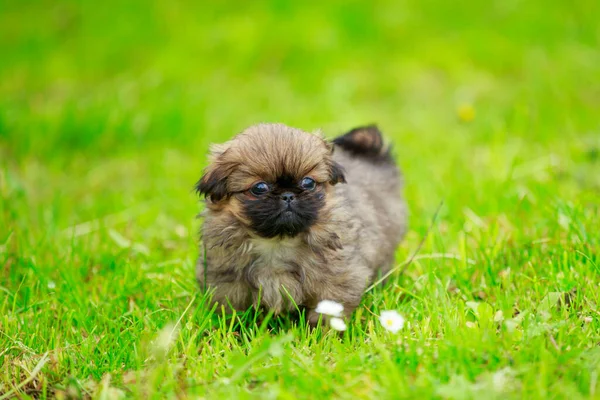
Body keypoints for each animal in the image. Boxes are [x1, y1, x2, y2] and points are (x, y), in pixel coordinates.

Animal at [197, 122, 408, 324]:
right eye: (259, 187)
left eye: (308, 183)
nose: (288, 195)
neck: (278, 241)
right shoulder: (228, 283)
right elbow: (232, 313)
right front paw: (235, 331)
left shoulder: (336, 281)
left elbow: (327, 313)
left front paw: (323, 333)